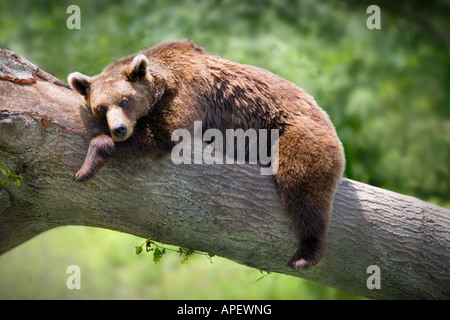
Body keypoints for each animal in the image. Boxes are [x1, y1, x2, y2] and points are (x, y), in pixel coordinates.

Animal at [68, 40, 344, 270]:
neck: (165, 80)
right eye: (101, 108)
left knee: (302, 187)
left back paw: (305, 254)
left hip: (296, 134)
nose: (119, 129)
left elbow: (164, 132)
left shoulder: (190, 93)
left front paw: (87, 164)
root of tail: (328, 119)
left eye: (125, 100)